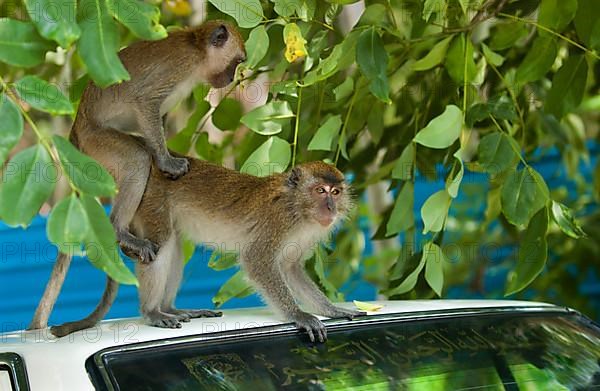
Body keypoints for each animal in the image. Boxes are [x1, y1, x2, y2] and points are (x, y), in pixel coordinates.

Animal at [51, 159, 368, 344]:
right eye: (320, 191)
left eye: (336, 192)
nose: (330, 208)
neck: (297, 209)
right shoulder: (276, 223)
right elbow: (258, 262)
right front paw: (299, 315)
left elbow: (290, 268)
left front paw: (331, 310)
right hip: (150, 201)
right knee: (162, 242)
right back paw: (152, 312)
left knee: (173, 246)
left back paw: (170, 307)